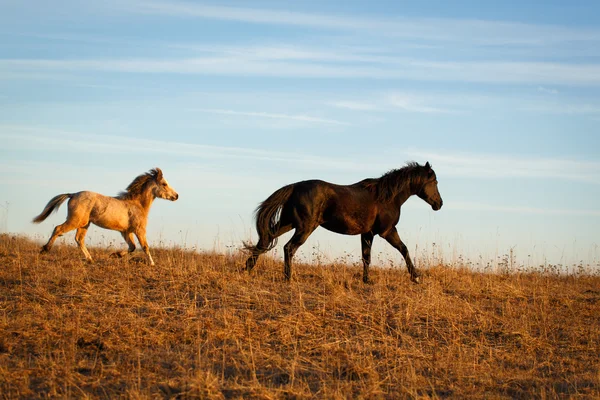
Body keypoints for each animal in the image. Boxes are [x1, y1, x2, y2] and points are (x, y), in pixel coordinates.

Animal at [32, 168, 178, 266]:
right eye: (164, 184)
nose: (176, 196)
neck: (137, 204)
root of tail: (73, 194)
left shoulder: (126, 232)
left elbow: (132, 247)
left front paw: (115, 255)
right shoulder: (139, 230)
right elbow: (145, 247)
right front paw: (152, 264)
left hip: (84, 224)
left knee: (79, 239)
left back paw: (90, 259)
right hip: (75, 221)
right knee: (58, 229)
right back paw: (45, 249)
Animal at [243, 162, 440, 282]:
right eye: (435, 182)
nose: (439, 204)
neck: (386, 197)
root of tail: (294, 187)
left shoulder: (367, 233)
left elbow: (366, 257)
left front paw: (366, 280)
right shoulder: (388, 231)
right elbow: (404, 249)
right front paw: (415, 276)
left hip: (288, 223)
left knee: (266, 241)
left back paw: (247, 268)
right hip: (304, 227)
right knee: (288, 248)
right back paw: (288, 278)